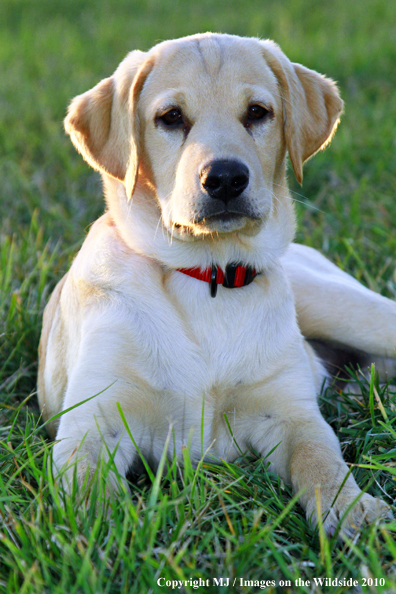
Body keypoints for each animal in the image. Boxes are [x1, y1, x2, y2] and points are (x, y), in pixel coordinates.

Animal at [36, 32, 392, 536]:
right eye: (171, 117)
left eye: (258, 112)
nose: (224, 178)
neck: (208, 275)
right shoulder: (94, 420)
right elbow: (90, 495)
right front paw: (97, 535)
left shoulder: (290, 412)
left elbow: (321, 459)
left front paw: (354, 509)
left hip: (346, 308)